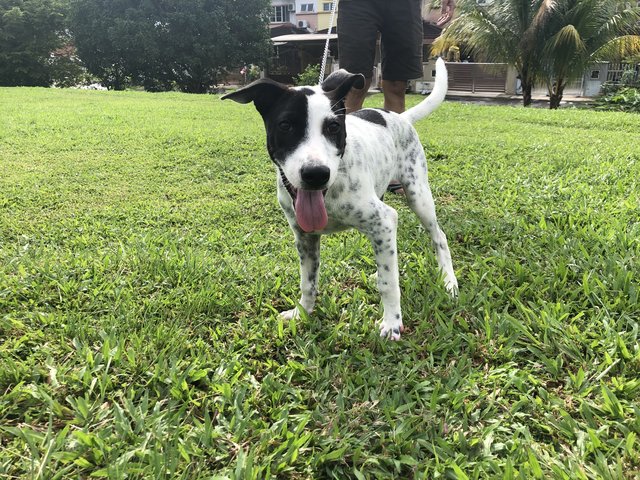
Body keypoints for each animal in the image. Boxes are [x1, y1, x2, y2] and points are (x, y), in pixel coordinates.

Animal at [222, 58, 458, 340]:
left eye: (334, 127)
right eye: (286, 126)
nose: (316, 174)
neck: (330, 193)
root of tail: (399, 116)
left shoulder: (384, 219)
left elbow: (388, 282)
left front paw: (392, 322)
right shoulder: (305, 236)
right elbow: (308, 282)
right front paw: (302, 312)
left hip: (418, 194)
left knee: (439, 237)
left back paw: (449, 281)